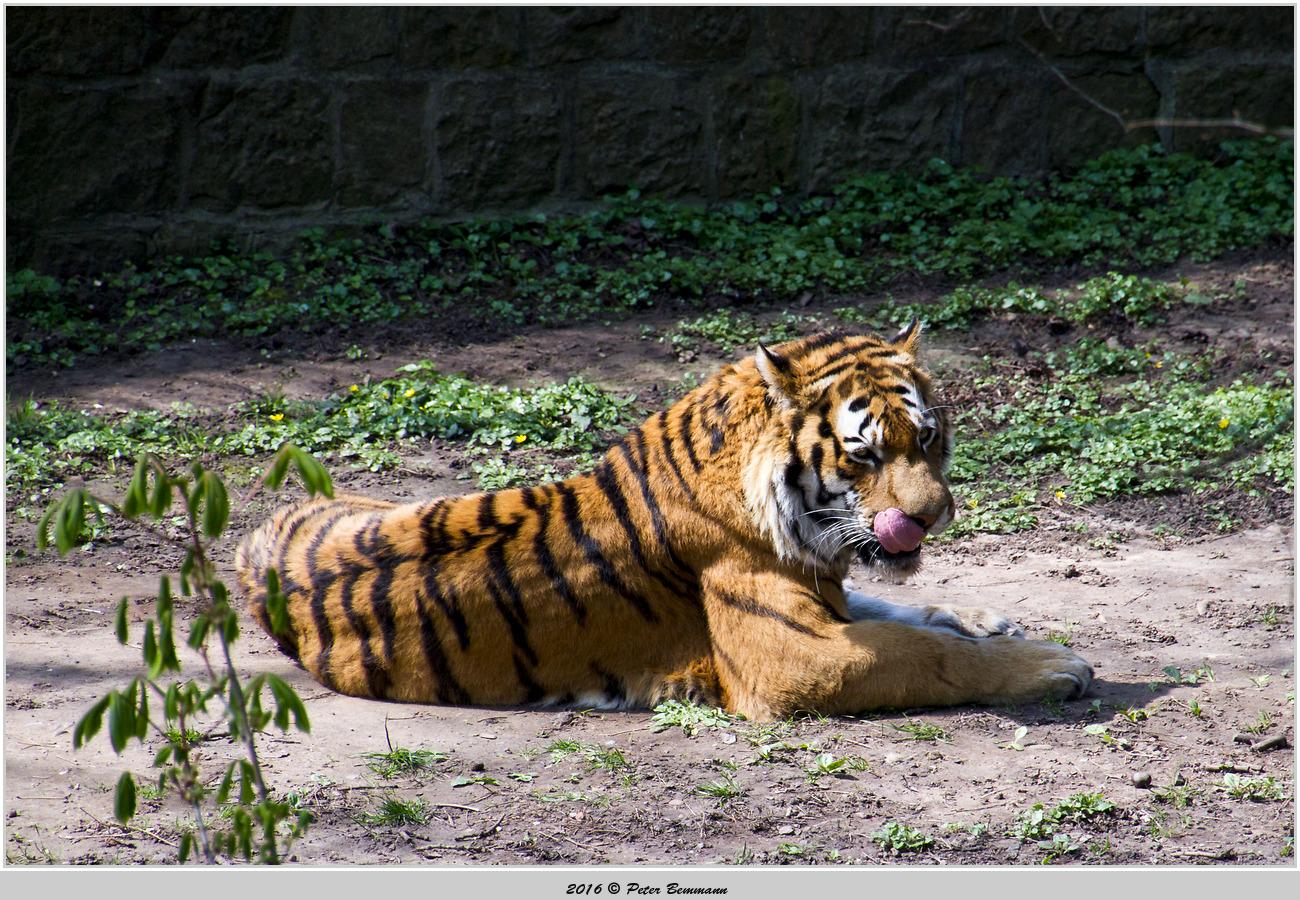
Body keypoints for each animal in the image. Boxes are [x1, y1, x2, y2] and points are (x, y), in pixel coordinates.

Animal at [236, 323, 1097, 723]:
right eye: (864, 455)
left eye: (927, 438)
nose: (930, 516)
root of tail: (257, 535)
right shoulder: (791, 657)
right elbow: (923, 654)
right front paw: (1052, 665)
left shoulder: (826, 590)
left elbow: (904, 609)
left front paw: (988, 619)